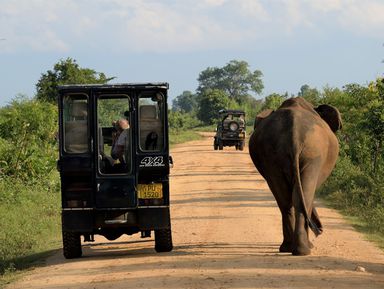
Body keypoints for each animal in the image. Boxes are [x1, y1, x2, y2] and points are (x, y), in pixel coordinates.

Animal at [249, 97, 342, 254]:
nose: (320, 229)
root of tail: (294, 135)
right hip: (314, 154)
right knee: (304, 196)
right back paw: (304, 249)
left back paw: (290, 248)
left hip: (273, 157)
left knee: (285, 200)